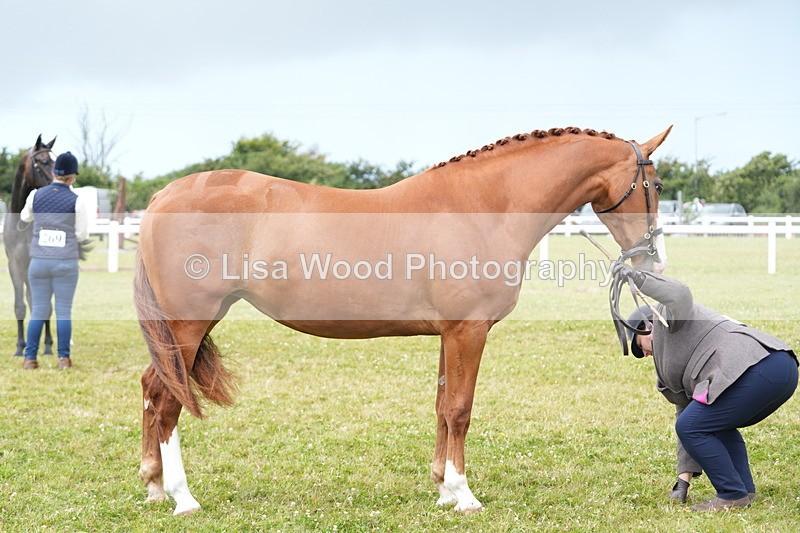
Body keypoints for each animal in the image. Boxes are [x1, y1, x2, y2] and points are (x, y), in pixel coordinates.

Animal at [134, 126, 672, 516]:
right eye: (657, 184)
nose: (653, 260)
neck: (481, 206)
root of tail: (163, 197)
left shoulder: (449, 334)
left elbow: (441, 407)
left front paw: (443, 489)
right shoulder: (468, 331)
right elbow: (460, 409)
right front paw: (464, 494)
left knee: (151, 388)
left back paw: (154, 485)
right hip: (189, 324)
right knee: (167, 401)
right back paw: (182, 498)